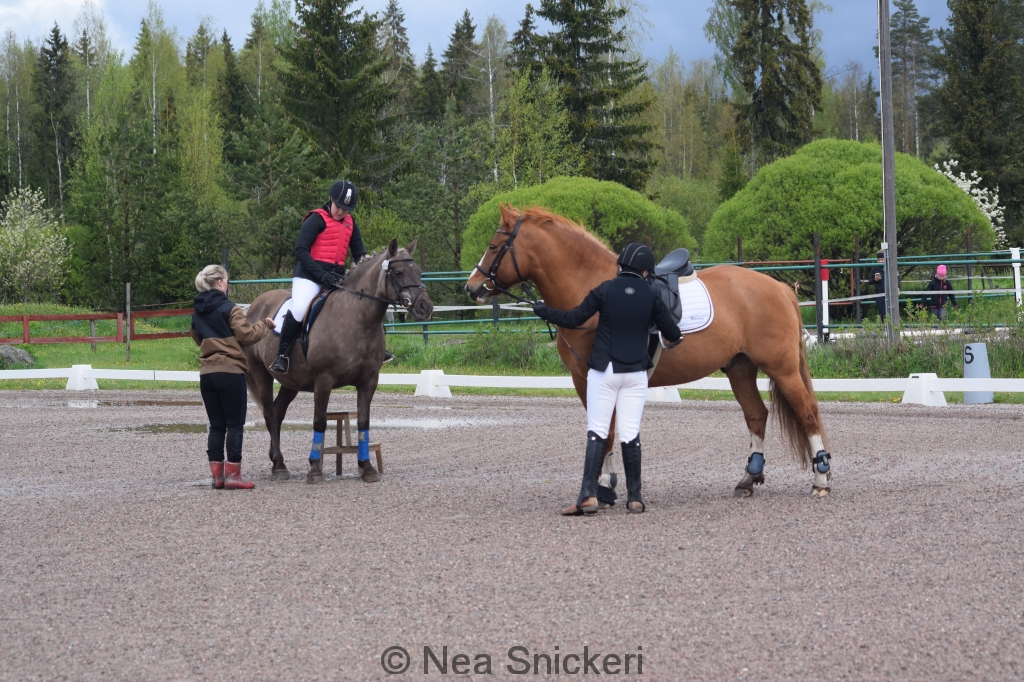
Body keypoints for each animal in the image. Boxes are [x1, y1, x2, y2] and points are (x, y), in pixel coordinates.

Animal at [244, 239, 434, 483]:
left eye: (418, 271)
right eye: (398, 272)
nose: (426, 307)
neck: (358, 319)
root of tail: (255, 305)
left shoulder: (369, 381)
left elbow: (363, 421)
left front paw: (366, 467)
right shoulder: (323, 380)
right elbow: (319, 421)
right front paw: (314, 469)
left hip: (291, 381)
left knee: (277, 412)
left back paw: (277, 460)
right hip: (261, 373)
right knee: (269, 412)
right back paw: (279, 466)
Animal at [465, 204, 832, 497]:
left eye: (493, 246)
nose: (471, 288)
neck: (593, 290)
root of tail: (780, 288)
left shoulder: (592, 378)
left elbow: (604, 432)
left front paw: (601, 486)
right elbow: (606, 430)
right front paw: (609, 482)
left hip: (782, 368)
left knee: (808, 413)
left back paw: (821, 480)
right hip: (740, 368)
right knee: (757, 415)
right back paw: (748, 479)